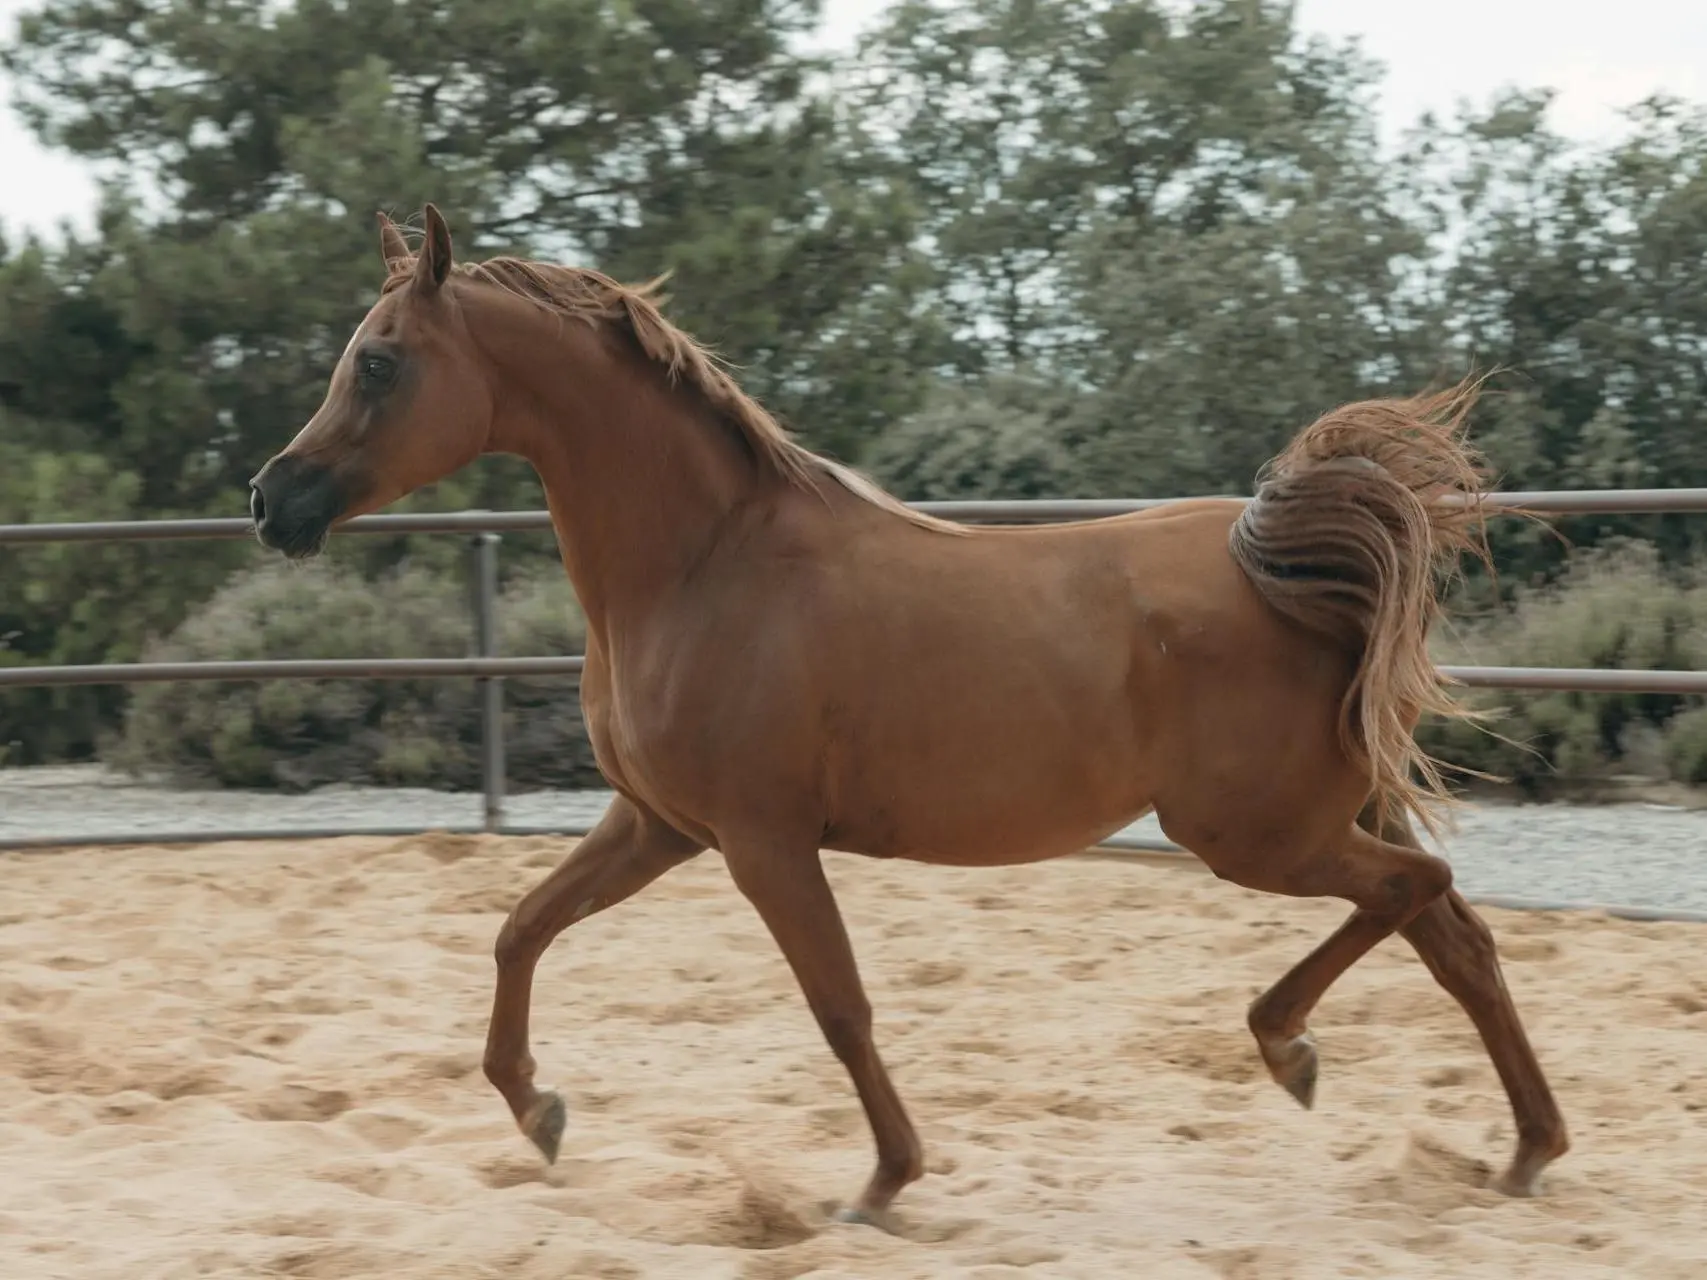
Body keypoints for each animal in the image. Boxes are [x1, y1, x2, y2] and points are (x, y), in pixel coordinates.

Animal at [247, 200, 1563, 1221]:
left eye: (378, 360)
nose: (271, 499)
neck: (701, 565)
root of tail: (1279, 562)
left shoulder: (763, 841)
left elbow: (839, 1003)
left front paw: (884, 1181)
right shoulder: (658, 824)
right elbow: (520, 928)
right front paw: (540, 1112)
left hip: (1257, 836)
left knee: (1419, 895)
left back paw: (1292, 1047)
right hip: (1329, 816)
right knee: (1456, 935)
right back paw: (1524, 1151)